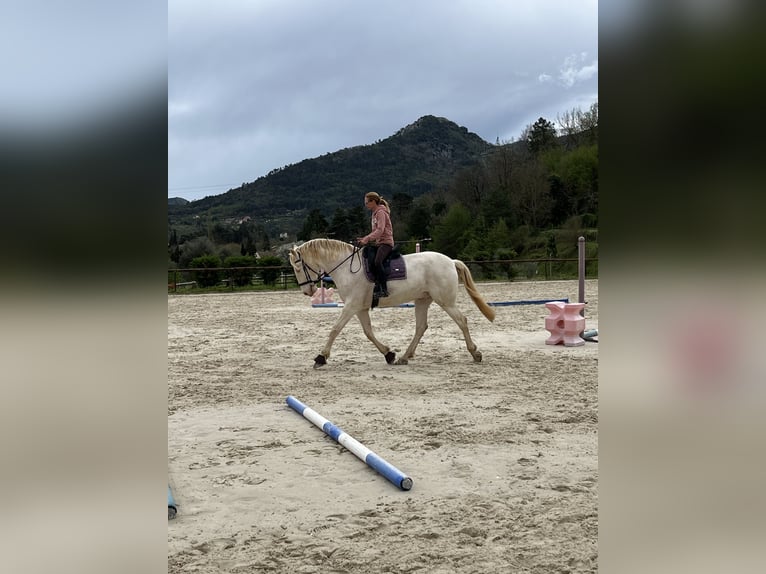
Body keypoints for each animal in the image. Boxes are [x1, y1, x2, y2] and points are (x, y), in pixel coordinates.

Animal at [290, 238, 498, 368]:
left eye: (298, 267)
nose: (307, 291)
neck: (346, 268)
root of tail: (450, 261)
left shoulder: (351, 306)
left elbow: (335, 329)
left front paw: (321, 357)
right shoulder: (360, 308)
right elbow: (368, 332)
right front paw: (388, 354)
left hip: (445, 301)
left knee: (461, 321)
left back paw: (475, 353)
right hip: (422, 300)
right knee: (421, 327)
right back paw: (404, 357)